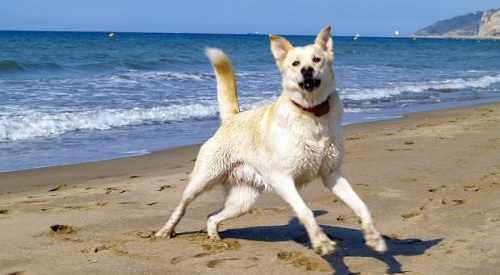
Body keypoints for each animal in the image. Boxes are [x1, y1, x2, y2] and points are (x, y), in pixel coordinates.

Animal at [156, 26, 386, 256]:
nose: (307, 70)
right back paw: (165, 231)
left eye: (316, 59)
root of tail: (232, 117)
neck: (311, 114)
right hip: (202, 179)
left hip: (243, 201)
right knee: (181, 207)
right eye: (295, 63)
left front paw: (374, 237)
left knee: (212, 216)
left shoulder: (332, 175)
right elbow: (305, 211)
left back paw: (215, 239)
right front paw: (321, 241)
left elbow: (361, 205)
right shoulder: (282, 179)